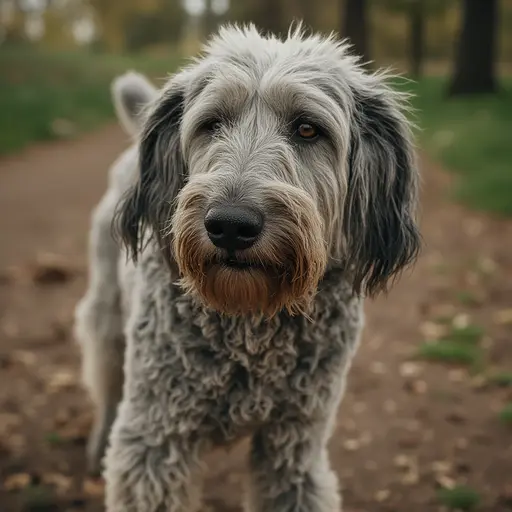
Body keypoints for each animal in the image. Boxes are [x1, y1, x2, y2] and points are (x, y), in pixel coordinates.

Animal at [76, 23, 420, 512]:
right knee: (106, 379)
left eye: (308, 129)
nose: (230, 226)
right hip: (108, 316)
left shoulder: (293, 448)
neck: (250, 325)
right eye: (211, 124)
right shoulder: (157, 443)